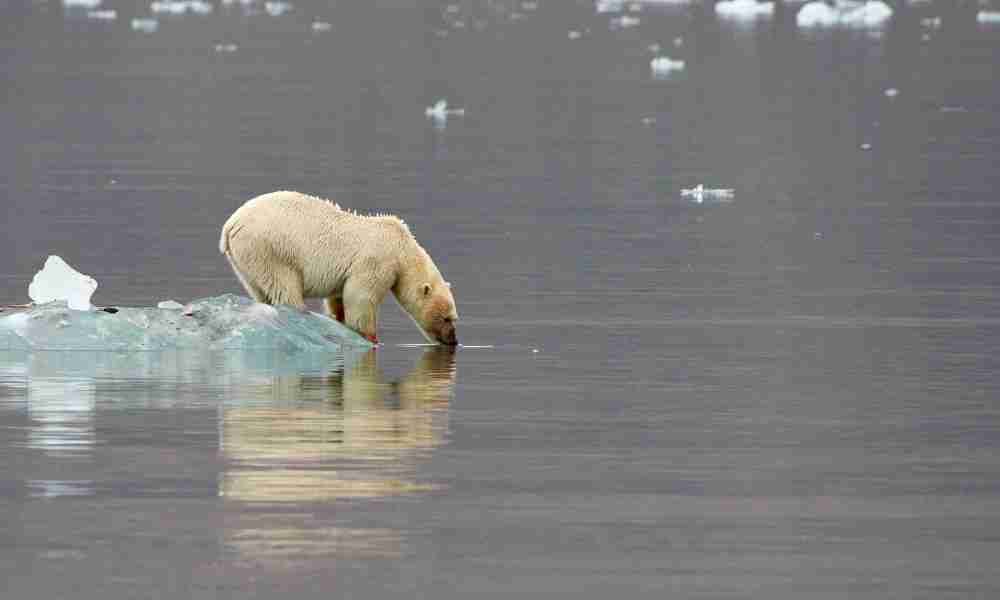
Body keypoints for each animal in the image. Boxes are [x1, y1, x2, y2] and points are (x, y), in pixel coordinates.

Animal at [221, 190, 458, 344]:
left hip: (245, 261)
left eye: (453, 317)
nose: (454, 341)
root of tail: (231, 225)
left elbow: (338, 299)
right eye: (446, 318)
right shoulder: (377, 261)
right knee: (285, 286)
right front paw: (371, 338)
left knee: (259, 288)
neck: (402, 247)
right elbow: (360, 297)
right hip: (271, 249)